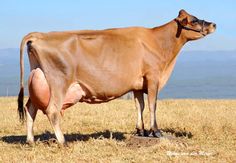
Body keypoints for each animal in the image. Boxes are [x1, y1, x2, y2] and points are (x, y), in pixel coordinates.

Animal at [18, 9, 216, 145]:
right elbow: (152, 105)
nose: (214, 24)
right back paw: (62, 142)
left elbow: (139, 106)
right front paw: (156, 131)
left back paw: (30, 140)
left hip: (38, 80)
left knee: (30, 108)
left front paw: (141, 131)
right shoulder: (153, 78)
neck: (158, 42)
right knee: (52, 110)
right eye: (194, 20)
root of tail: (39, 35)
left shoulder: (137, 85)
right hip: (58, 83)